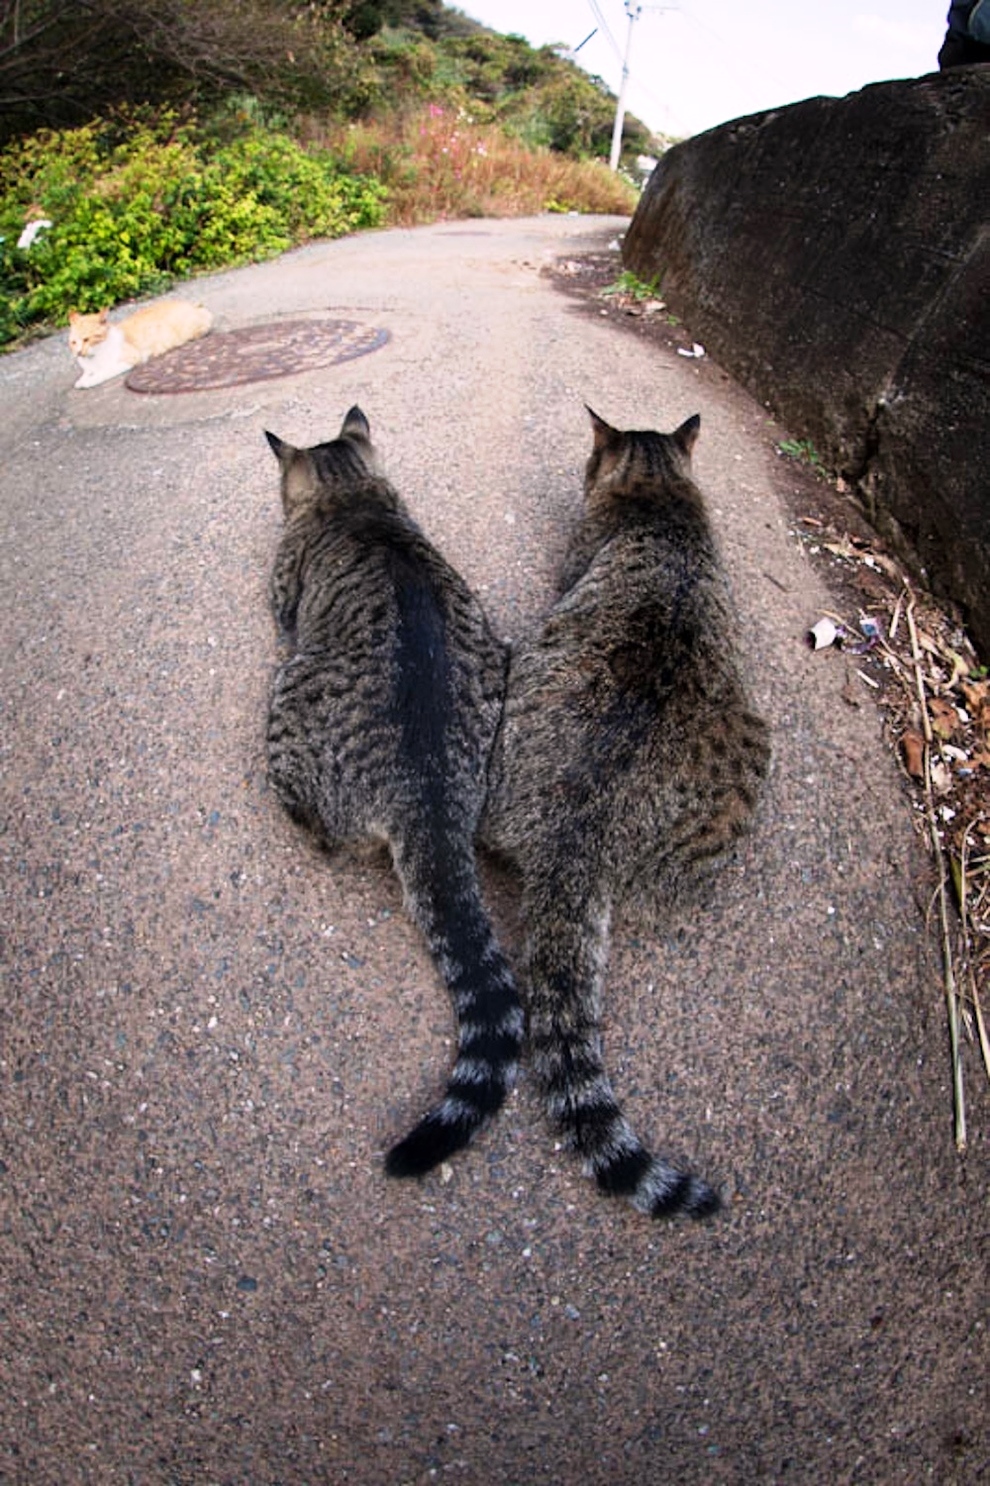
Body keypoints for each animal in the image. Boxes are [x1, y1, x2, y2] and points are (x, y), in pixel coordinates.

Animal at [68, 297, 214, 386]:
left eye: (86, 339)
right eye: (73, 342)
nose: (78, 352)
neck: (93, 357)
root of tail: (194, 305)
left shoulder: (129, 360)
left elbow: (102, 373)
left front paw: (87, 382)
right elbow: (85, 374)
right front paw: (82, 380)